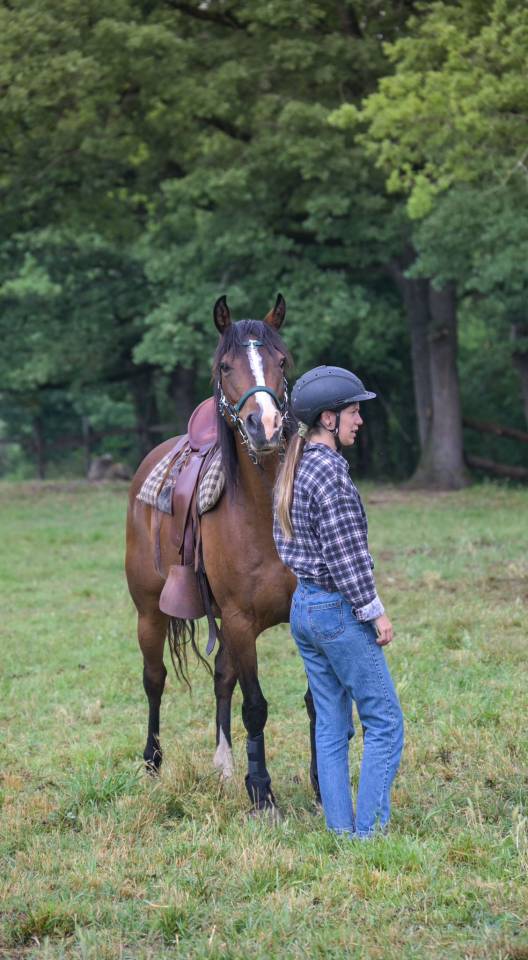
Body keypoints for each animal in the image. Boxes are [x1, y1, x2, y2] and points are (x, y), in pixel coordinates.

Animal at [125, 294, 320, 815]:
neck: (263, 513)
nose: (265, 425)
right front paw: (263, 795)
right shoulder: (238, 620)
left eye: (282, 361)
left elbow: (316, 700)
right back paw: (152, 763)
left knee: (221, 680)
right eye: (225, 366)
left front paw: (320, 785)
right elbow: (256, 706)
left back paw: (225, 765)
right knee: (155, 678)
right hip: (150, 612)